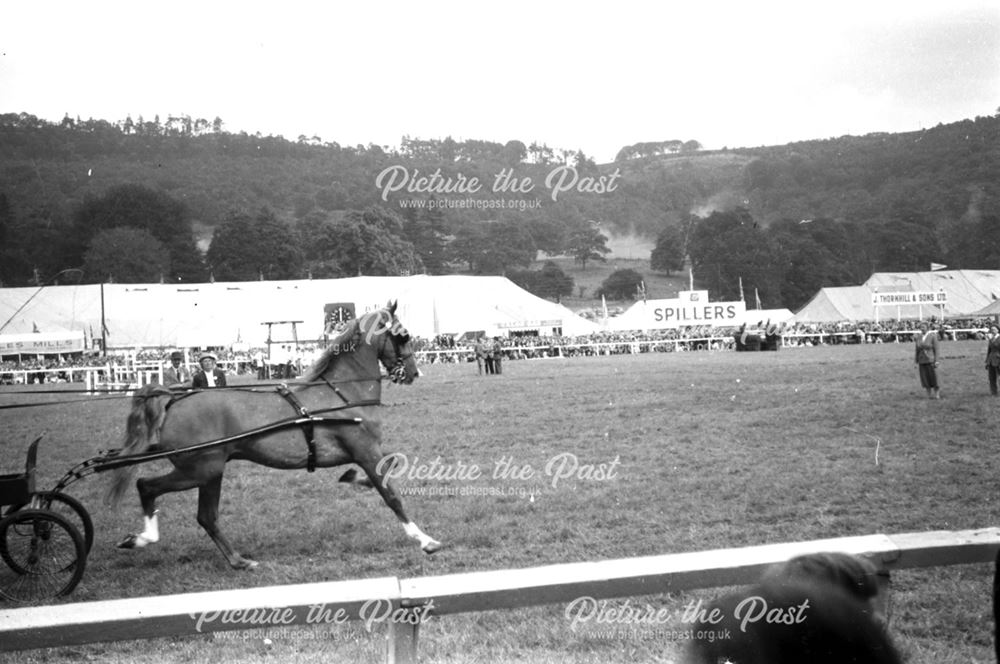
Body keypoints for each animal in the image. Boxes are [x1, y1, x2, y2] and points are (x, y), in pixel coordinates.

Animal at [104, 304, 442, 568]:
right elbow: (391, 494)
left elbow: (389, 467)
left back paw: (238, 561)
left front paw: (351, 478)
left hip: (210, 472)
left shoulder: (364, 452)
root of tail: (173, 400)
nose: (414, 373)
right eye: (403, 335)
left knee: (206, 516)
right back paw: (142, 539)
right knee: (146, 486)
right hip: (199, 469)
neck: (343, 395)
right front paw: (425, 540)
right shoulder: (365, 451)